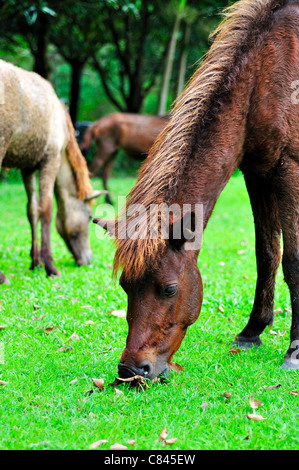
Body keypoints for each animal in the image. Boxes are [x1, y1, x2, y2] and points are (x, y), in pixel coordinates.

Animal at [0, 60, 104, 284]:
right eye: (89, 216)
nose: (88, 259)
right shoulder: (51, 158)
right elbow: (46, 208)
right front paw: (50, 265)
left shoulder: (28, 167)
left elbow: (32, 209)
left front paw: (36, 261)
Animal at [95, 0, 299, 378]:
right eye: (125, 286)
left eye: (169, 289)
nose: (131, 369)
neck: (266, 71)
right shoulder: (257, 174)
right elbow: (267, 254)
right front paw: (252, 331)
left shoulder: (289, 170)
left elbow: (292, 262)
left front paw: (294, 349)